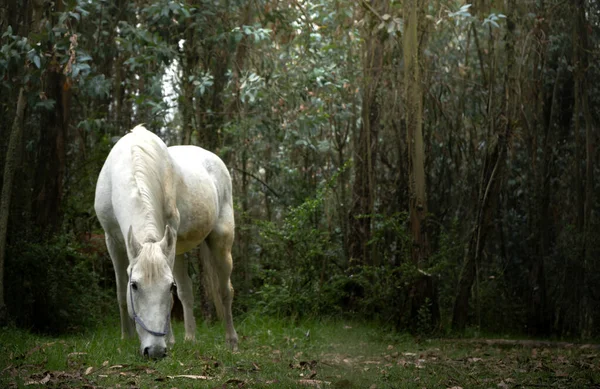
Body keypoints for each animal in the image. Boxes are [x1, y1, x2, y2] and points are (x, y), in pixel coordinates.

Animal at [95, 124, 238, 358]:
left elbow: (172, 297)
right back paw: (189, 339)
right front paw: (126, 338)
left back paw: (231, 341)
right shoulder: (112, 241)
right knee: (187, 292)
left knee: (225, 290)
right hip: (177, 249)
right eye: (135, 286)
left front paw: (168, 341)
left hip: (221, 242)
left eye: (168, 286)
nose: (154, 350)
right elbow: (120, 292)